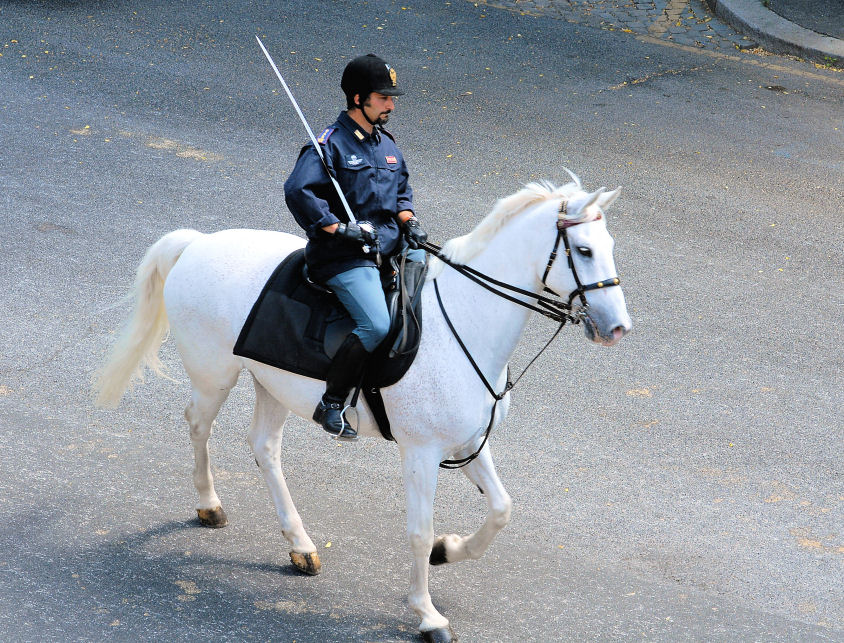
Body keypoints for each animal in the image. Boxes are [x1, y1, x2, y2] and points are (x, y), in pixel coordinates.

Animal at [95, 177, 628, 643]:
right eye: (583, 251)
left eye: (609, 244)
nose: (617, 328)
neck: (463, 321)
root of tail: (199, 243)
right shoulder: (421, 453)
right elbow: (418, 532)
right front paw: (428, 615)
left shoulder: (470, 442)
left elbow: (501, 509)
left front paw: (449, 550)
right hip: (214, 378)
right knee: (198, 426)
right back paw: (210, 505)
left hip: (272, 386)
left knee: (264, 448)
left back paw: (301, 545)